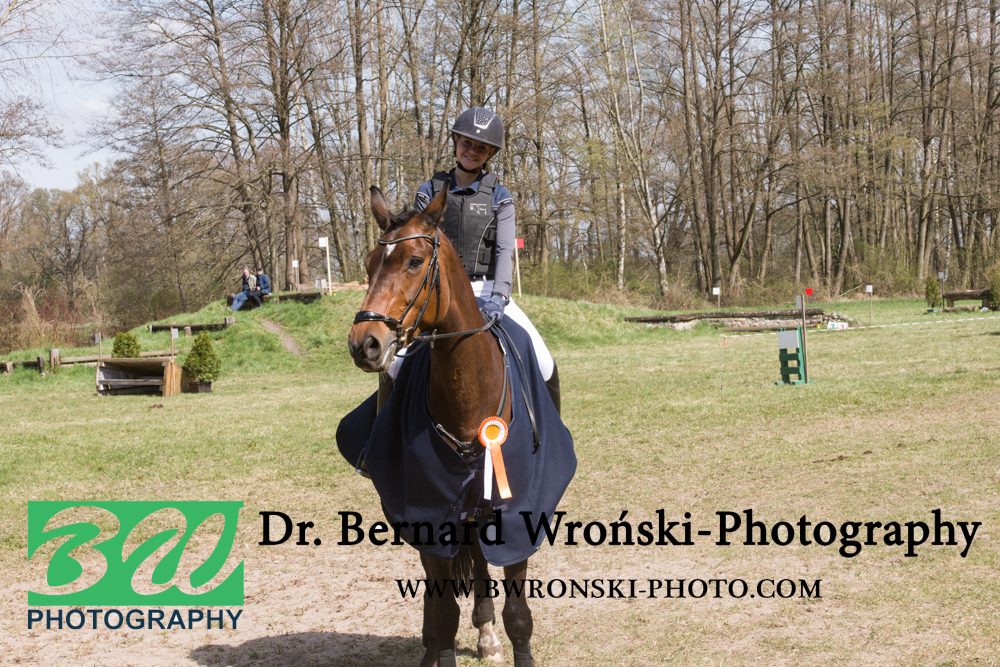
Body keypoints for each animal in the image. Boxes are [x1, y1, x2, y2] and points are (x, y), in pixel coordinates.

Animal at [347, 182, 540, 667]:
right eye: (369, 264)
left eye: (414, 261)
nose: (364, 344)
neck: (469, 394)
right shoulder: (428, 509)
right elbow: (442, 611)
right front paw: (440, 648)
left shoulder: (516, 506)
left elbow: (517, 611)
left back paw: (486, 634)